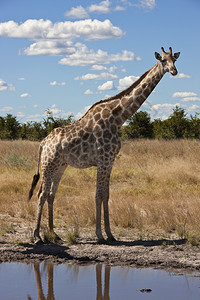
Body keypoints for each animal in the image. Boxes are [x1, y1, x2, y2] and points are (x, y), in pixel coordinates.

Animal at [28, 47, 180, 244]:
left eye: (174, 60)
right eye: (162, 60)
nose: (174, 71)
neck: (118, 119)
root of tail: (43, 142)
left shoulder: (110, 161)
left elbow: (106, 195)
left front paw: (110, 234)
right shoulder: (102, 160)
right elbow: (98, 195)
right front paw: (100, 234)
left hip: (60, 166)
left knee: (51, 194)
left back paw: (54, 234)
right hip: (48, 165)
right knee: (41, 194)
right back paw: (37, 236)